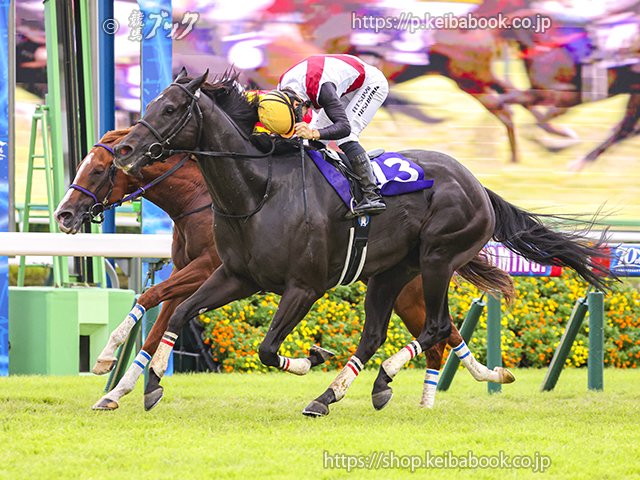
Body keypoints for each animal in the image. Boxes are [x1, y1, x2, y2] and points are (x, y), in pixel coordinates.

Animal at [54, 127, 514, 411]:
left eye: (98, 169)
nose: (63, 215)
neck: (203, 198)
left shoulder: (206, 268)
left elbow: (150, 297)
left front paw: (107, 360)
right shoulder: (198, 272)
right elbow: (160, 319)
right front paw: (118, 390)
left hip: (416, 281)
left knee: (441, 332)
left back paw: (463, 380)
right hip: (398, 282)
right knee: (440, 333)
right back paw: (457, 383)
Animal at [113, 70, 613, 416]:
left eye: (171, 109)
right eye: (152, 102)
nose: (125, 150)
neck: (259, 191)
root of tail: (478, 185)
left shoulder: (304, 287)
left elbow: (267, 348)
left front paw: (310, 357)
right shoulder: (236, 276)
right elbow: (181, 311)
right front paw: (152, 384)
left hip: (438, 257)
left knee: (435, 327)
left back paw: (373, 380)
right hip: (391, 271)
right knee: (378, 334)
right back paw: (337, 393)